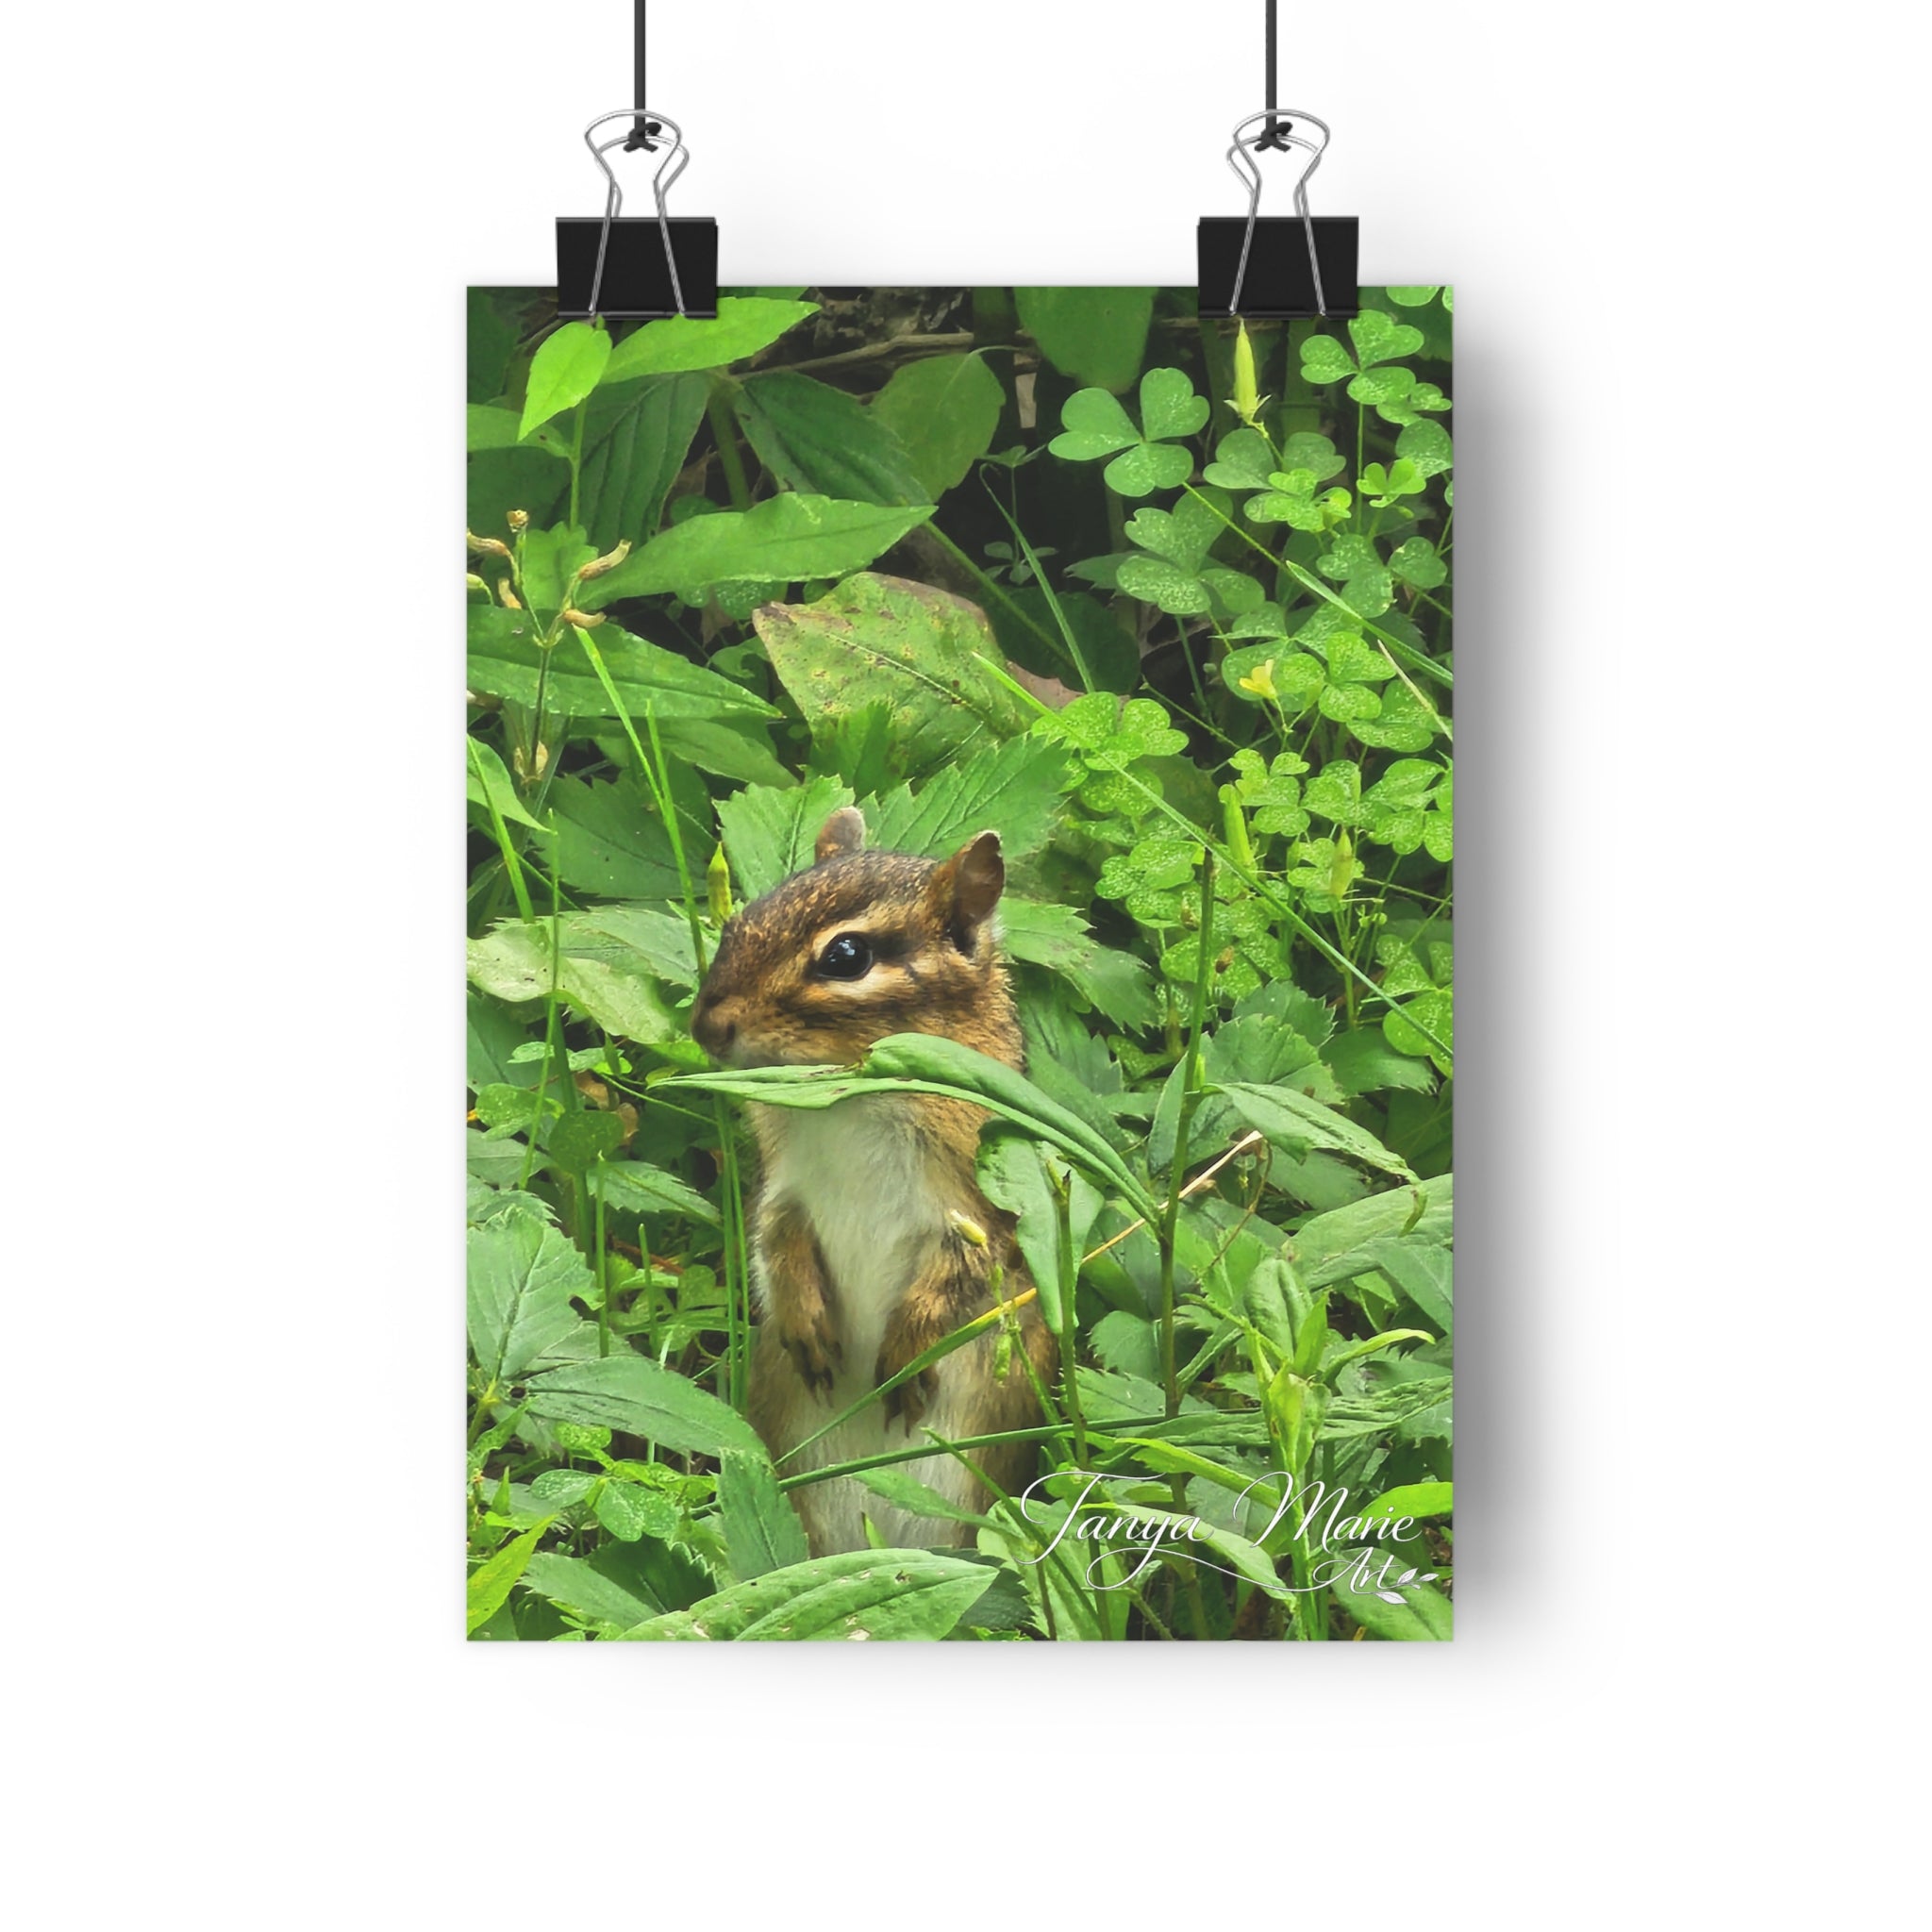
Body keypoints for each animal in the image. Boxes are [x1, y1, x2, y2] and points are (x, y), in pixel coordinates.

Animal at [691, 806, 1057, 1556]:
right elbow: (774, 1241)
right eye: (741, 920)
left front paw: (907, 1356)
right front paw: (804, 1321)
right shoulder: (783, 1187)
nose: (705, 1025)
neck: (848, 1102)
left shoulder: (977, 1209)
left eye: (846, 957)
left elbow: (958, 1280)